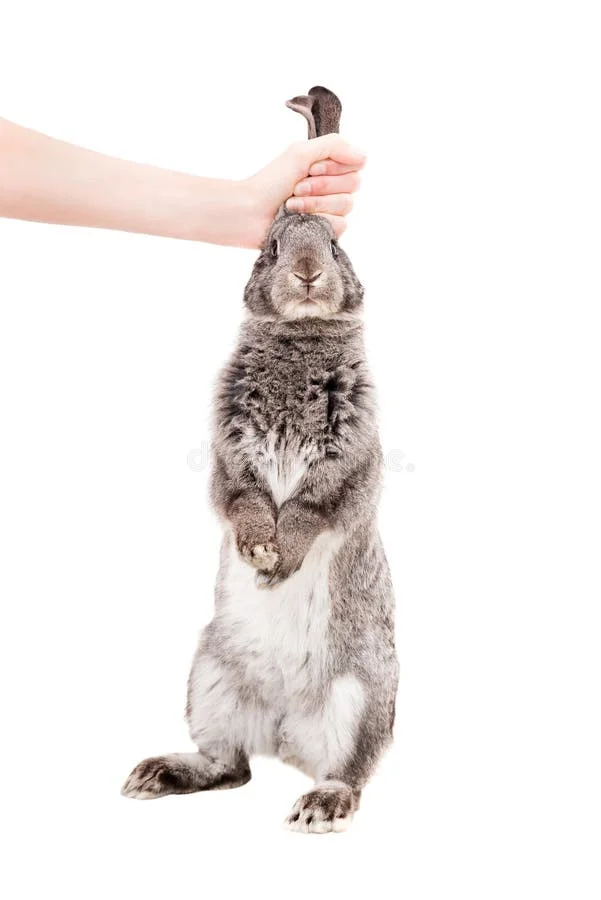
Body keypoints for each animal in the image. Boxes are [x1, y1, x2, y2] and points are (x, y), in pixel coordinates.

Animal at [122, 86, 399, 834]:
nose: (306, 270)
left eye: (334, 244)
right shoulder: (231, 455)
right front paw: (257, 552)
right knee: (230, 766)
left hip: (359, 699)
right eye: (269, 248)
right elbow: (244, 498)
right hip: (209, 678)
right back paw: (156, 774)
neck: (299, 337)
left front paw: (281, 558)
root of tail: (284, 732)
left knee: (348, 772)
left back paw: (320, 806)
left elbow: (307, 507)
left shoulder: (344, 462)